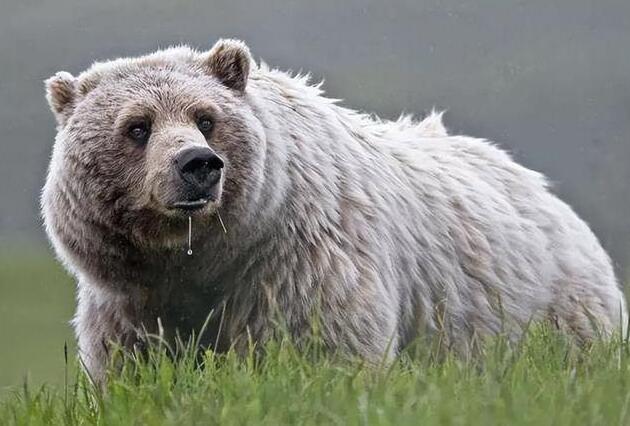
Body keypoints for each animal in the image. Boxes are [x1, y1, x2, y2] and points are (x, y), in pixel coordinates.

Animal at [43, 38, 628, 382]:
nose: (197, 164)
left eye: (206, 118)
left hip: (547, 312)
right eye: (137, 126)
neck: (205, 257)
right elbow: (135, 366)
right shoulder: (133, 301)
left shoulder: (298, 261)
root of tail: (547, 193)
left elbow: (322, 347)